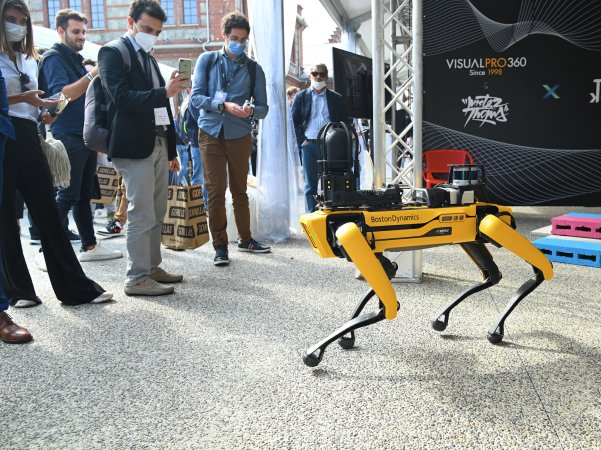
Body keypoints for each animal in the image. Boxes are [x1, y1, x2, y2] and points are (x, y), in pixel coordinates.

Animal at [298, 122, 552, 366]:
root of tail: (498, 208)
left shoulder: (353, 237)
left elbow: (387, 307)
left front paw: (316, 350)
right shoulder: (367, 246)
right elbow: (388, 282)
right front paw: (344, 336)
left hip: (487, 225)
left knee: (540, 269)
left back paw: (498, 325)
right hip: (471, 239)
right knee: (493, 275)